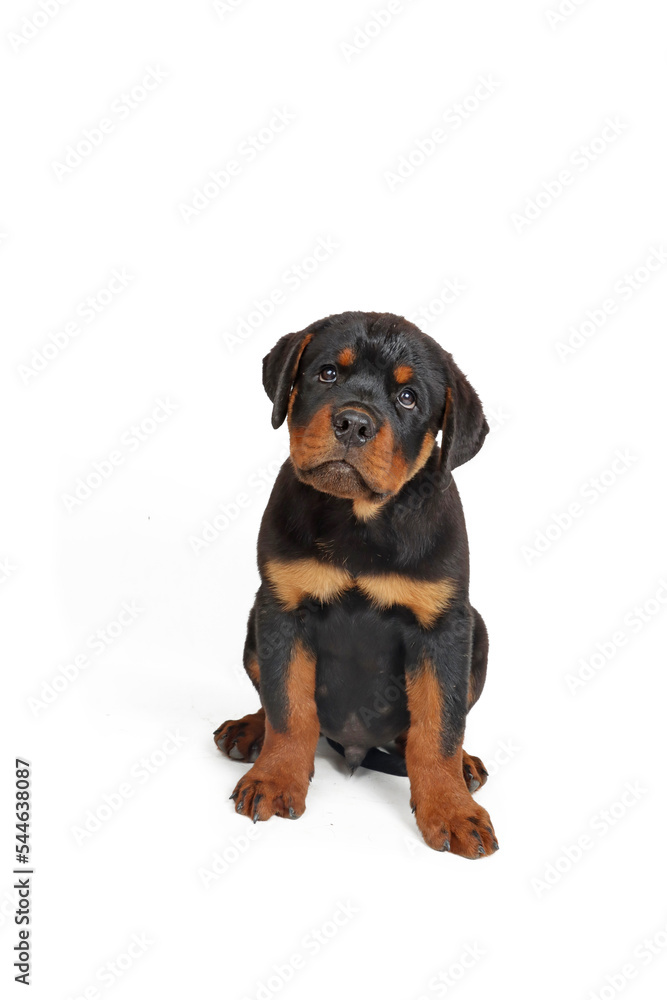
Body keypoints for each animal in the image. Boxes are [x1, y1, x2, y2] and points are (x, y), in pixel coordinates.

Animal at [213, 308, 496, 856]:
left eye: (408, 398)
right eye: (327, 374)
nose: (354, 423)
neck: (360, 521)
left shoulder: (443, 630)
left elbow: (439, 729)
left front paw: (452, 810)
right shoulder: (284, 612)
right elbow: (288, 707)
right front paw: (276, 778)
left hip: (479, 634)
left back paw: (466, 766)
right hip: (254, 623)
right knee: (270, 702)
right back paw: (248, 731)